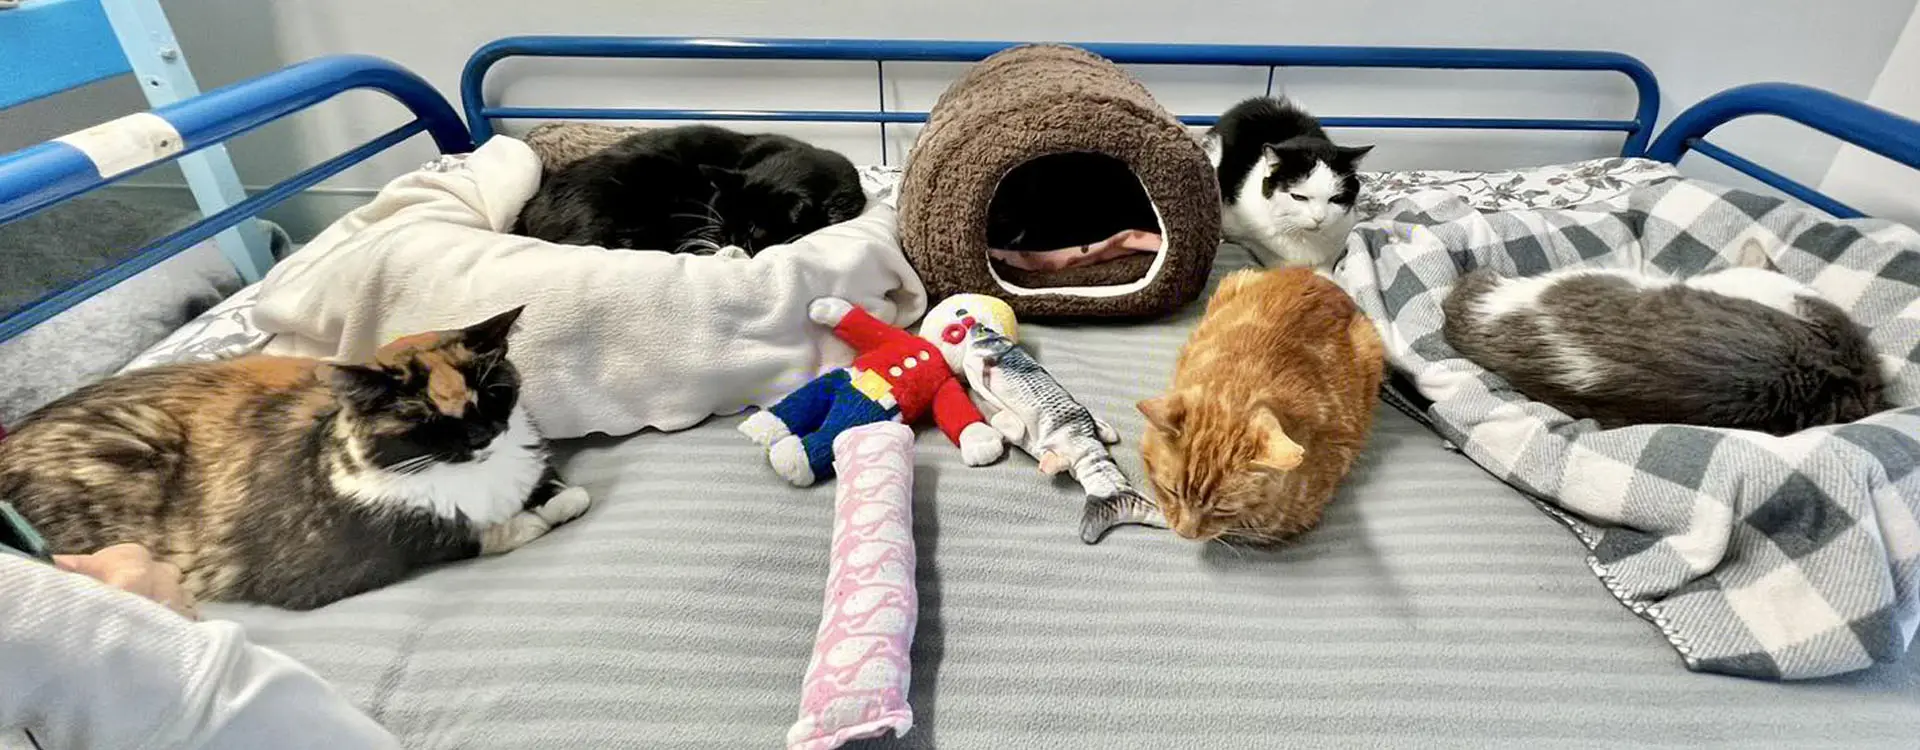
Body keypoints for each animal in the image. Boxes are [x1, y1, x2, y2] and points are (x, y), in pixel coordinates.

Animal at [0, 308, 587, 606]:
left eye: (492, 393)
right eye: (424, 420)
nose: (482, 437)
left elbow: (557, 487)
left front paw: (558, 499)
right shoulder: (320, 564)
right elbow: (449, 537)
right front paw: (525, 524)